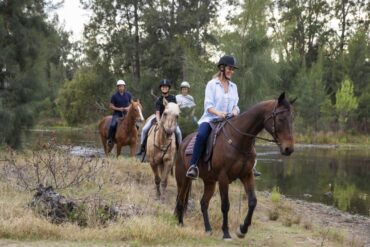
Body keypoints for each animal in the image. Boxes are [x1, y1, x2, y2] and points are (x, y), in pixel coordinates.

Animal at [175, 92, 296, 239]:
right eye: (280, 119)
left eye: (292, 119)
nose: (288, 149)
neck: (239, 140)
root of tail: (183, 142)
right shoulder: (223, 178)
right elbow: (225, 205)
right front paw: (226, 233)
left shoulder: (247, 175)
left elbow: (252, 201)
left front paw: (242, 230)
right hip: (183, 179)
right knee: (180, 200)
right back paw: (180, 224)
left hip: (209, 181)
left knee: (203, 203)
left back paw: (208, 229)